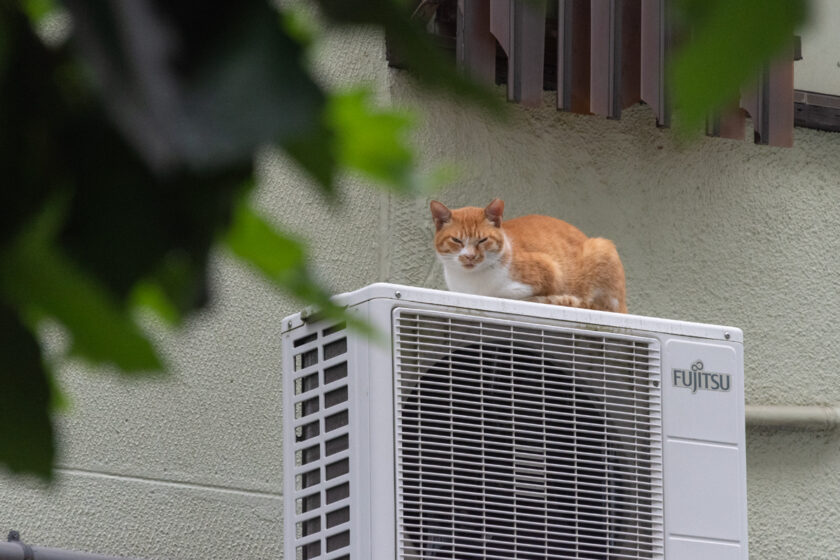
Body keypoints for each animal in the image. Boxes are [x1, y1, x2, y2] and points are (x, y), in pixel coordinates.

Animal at [434, 199, 624, 312]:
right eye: (456, 240)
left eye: (482, 240)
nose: (470, 256)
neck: (470, 282)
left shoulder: (550, 270)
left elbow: (502, 293)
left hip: (602, 247)